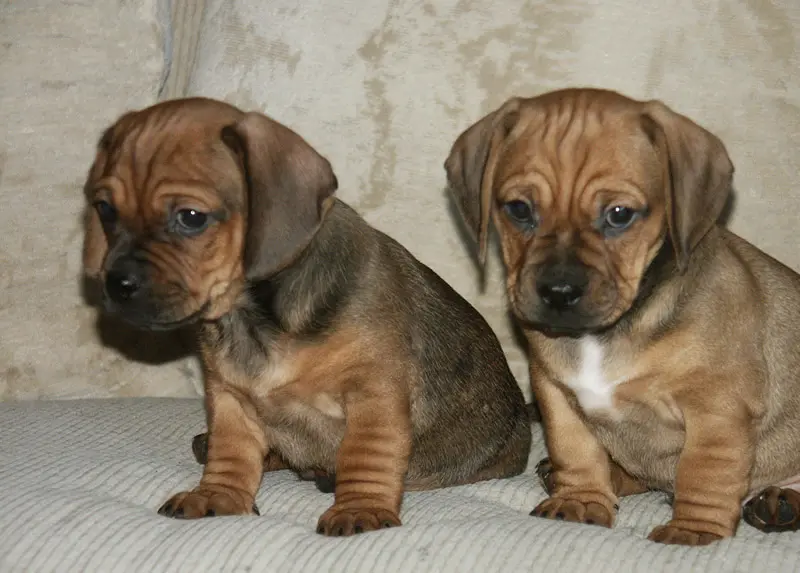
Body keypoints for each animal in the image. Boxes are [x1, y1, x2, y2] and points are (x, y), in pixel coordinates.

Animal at [83, 97, 532, 536]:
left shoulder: (373, 396)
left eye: (191, 217)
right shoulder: (230, 400)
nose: (116, 284)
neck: (254, 318)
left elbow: (364, 457)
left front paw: (360, 507)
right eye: (105, 209)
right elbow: (231, 455)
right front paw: (218, 495)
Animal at [446, 86, 800, 544]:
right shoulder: (555, 393)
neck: (601, 336)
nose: (559, 291)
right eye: (519, 209)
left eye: (619, 215)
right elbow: (576, 451)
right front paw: (580, 500)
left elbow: (704, 474)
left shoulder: (718, 409)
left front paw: (693, 530)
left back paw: (781, 503)